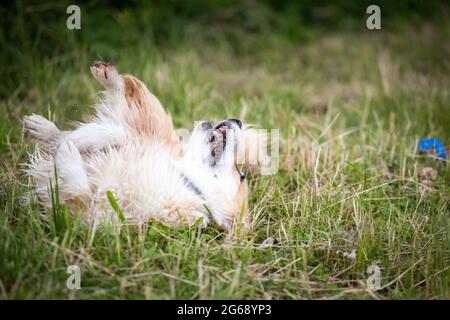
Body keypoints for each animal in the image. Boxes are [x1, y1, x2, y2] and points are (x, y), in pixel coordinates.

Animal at [23, 62, 250, 238]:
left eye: (241, 175)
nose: (237, 120)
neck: (184, 179)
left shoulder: (90, 217)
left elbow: (80, 189)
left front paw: (68, 155)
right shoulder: (141, 141)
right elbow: (117, 134)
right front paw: (80, 139)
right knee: (129, 99)